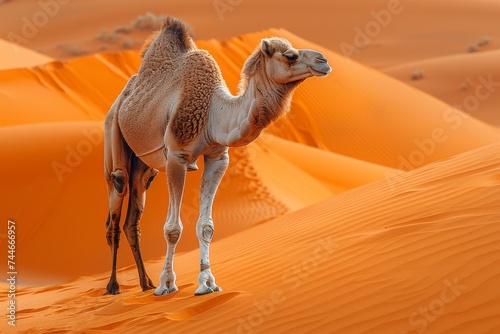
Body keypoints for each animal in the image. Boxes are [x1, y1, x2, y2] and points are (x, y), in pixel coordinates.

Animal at [104, 17, 332, 296]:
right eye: (290, 55)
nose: (323, 60)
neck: (214, 113)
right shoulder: (176, 157)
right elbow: (172, 229)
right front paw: (167, 284)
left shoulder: (217, 156)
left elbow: (206, 226)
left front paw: (207, 283)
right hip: (113, 134)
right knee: (116, 197)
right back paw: (114, 286)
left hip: (145, 167)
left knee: (133, 216)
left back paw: (145, 284)